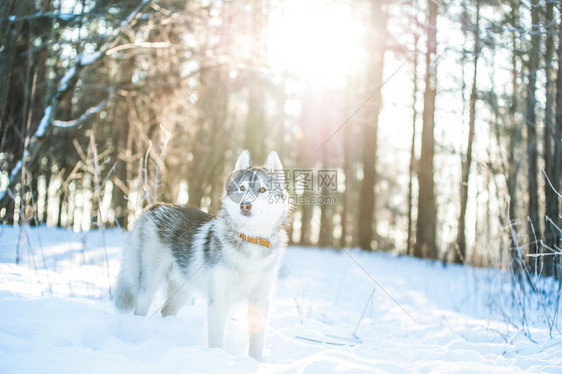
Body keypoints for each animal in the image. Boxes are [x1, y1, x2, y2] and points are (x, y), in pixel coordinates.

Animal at [114, 150, 288, 360]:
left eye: (262, 190)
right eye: (242, 188)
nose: (245, 205)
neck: (250, 240)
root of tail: (154, 207)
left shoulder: (259, 301)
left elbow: (256, 346)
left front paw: (256, 363)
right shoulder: (219, 301)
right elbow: (217, 342)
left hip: (183, 290)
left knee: (166, 310)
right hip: (148, 286)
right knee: (140, 310)